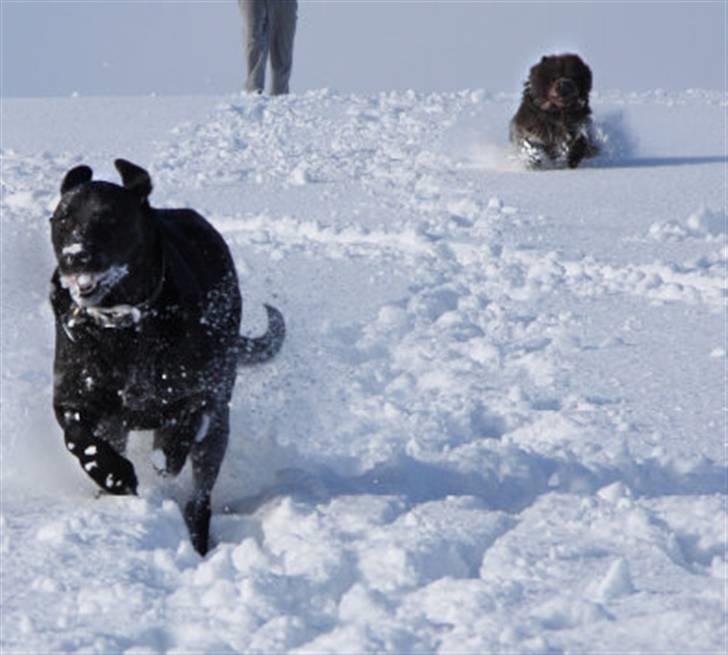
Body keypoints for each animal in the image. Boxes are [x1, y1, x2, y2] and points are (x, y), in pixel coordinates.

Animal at [49, 159, 284, 552]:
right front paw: (114, 475)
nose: (75, 256)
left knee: (199, 497)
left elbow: (184, 418)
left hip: (218, 425)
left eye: (109, 217)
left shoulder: (200, 391)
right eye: (63, 218)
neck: (123, 325)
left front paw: (166, 453)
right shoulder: (74, 396)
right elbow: (77, 437)